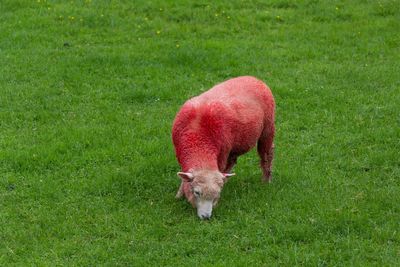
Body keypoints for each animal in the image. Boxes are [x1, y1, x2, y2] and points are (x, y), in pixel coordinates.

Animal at [170, 75, 274, 220]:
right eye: (196, 192)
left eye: (217, 194)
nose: (206, 217)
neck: (198, 140)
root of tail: (254, 78)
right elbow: (183, 176)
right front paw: (179, 195)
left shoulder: (222, 153)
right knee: (233, 160)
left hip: (267, 129)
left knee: (266, 155)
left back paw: (266, 180)